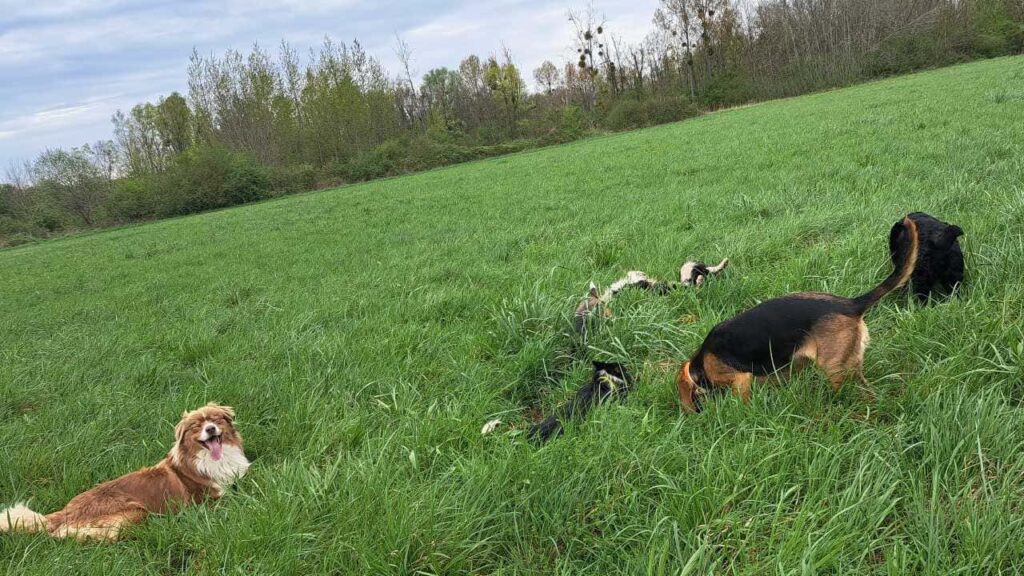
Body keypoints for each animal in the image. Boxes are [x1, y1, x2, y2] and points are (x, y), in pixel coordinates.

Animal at [0, 403, 247, 537]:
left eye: (215, 419)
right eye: (196, 426)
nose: (210, 428)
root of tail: (65, 512)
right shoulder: (209, 499)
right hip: (135, 511)